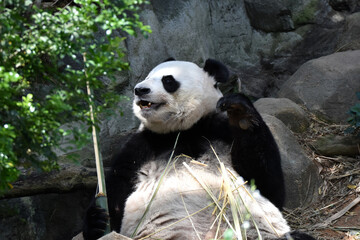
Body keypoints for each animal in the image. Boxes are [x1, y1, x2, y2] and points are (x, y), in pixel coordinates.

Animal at [83, 58, 314, 240]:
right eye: (147, 77)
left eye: (168, 80)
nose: (140, 90)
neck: (182, 130)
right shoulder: (143, 145)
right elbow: (118, 184)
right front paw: (96, 221)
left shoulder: (218, 130)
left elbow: (268, 184)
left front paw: (241, 114)